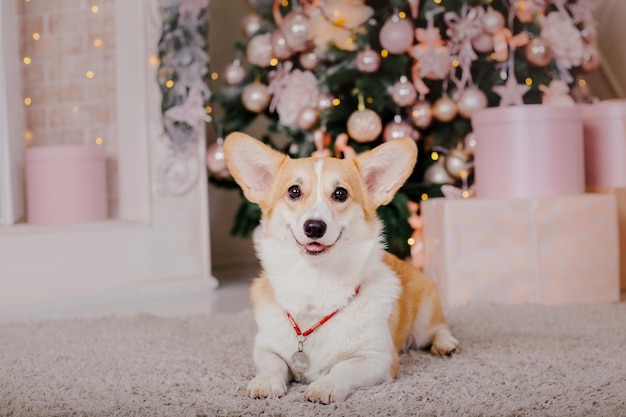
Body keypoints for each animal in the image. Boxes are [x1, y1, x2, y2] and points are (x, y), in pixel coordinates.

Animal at [222, 131, 456, 404]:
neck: (315, 281)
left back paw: (445, 344)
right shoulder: (265, 347)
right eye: (294, 191)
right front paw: (265, 383)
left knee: (438, 328)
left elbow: (342, 368)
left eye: (340, 193)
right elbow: (273, 364)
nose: (314, 227)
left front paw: (324, 386)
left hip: (424, 318)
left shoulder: (377, 358)